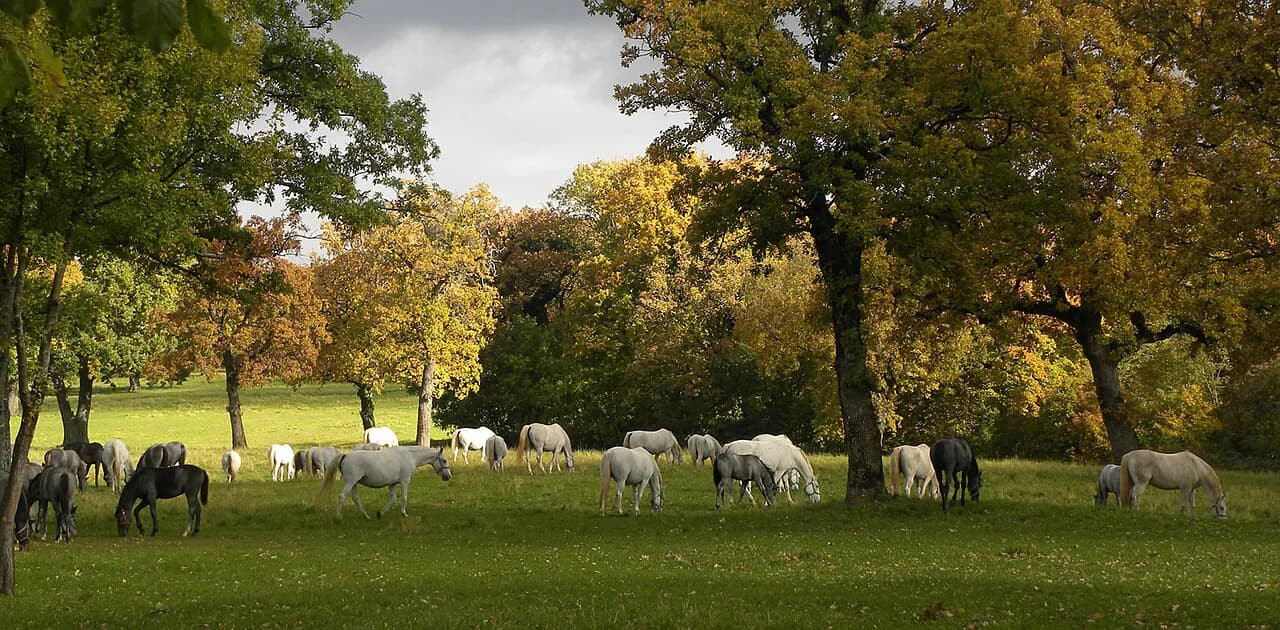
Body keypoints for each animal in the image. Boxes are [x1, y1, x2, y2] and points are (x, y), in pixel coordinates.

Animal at [317, 446, 452, 520]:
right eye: (444, 461)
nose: (448, 476)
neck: (409, 456)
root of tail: (345, 455)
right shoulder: (405, 481)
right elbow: (403, 498)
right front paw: (404, 514)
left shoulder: (392, 484)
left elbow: (393, 499)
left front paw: (380, 513)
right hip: (350, 482)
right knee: (342, 496)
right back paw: (338, 517)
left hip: (354, 484)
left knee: (355, 499)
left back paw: (366, 516)